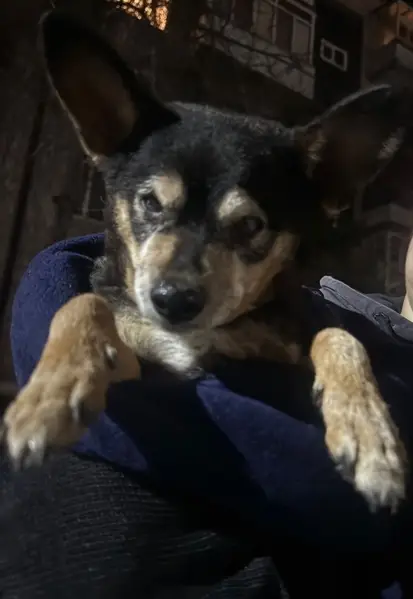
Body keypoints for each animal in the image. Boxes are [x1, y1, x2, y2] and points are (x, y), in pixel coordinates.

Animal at [2, 10, 408, 512]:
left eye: (251, 225)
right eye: (150, 203)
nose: (174, 300)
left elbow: (338, 334)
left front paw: (369, 431)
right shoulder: (146, 364)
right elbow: (84, 303)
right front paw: (49, 394)